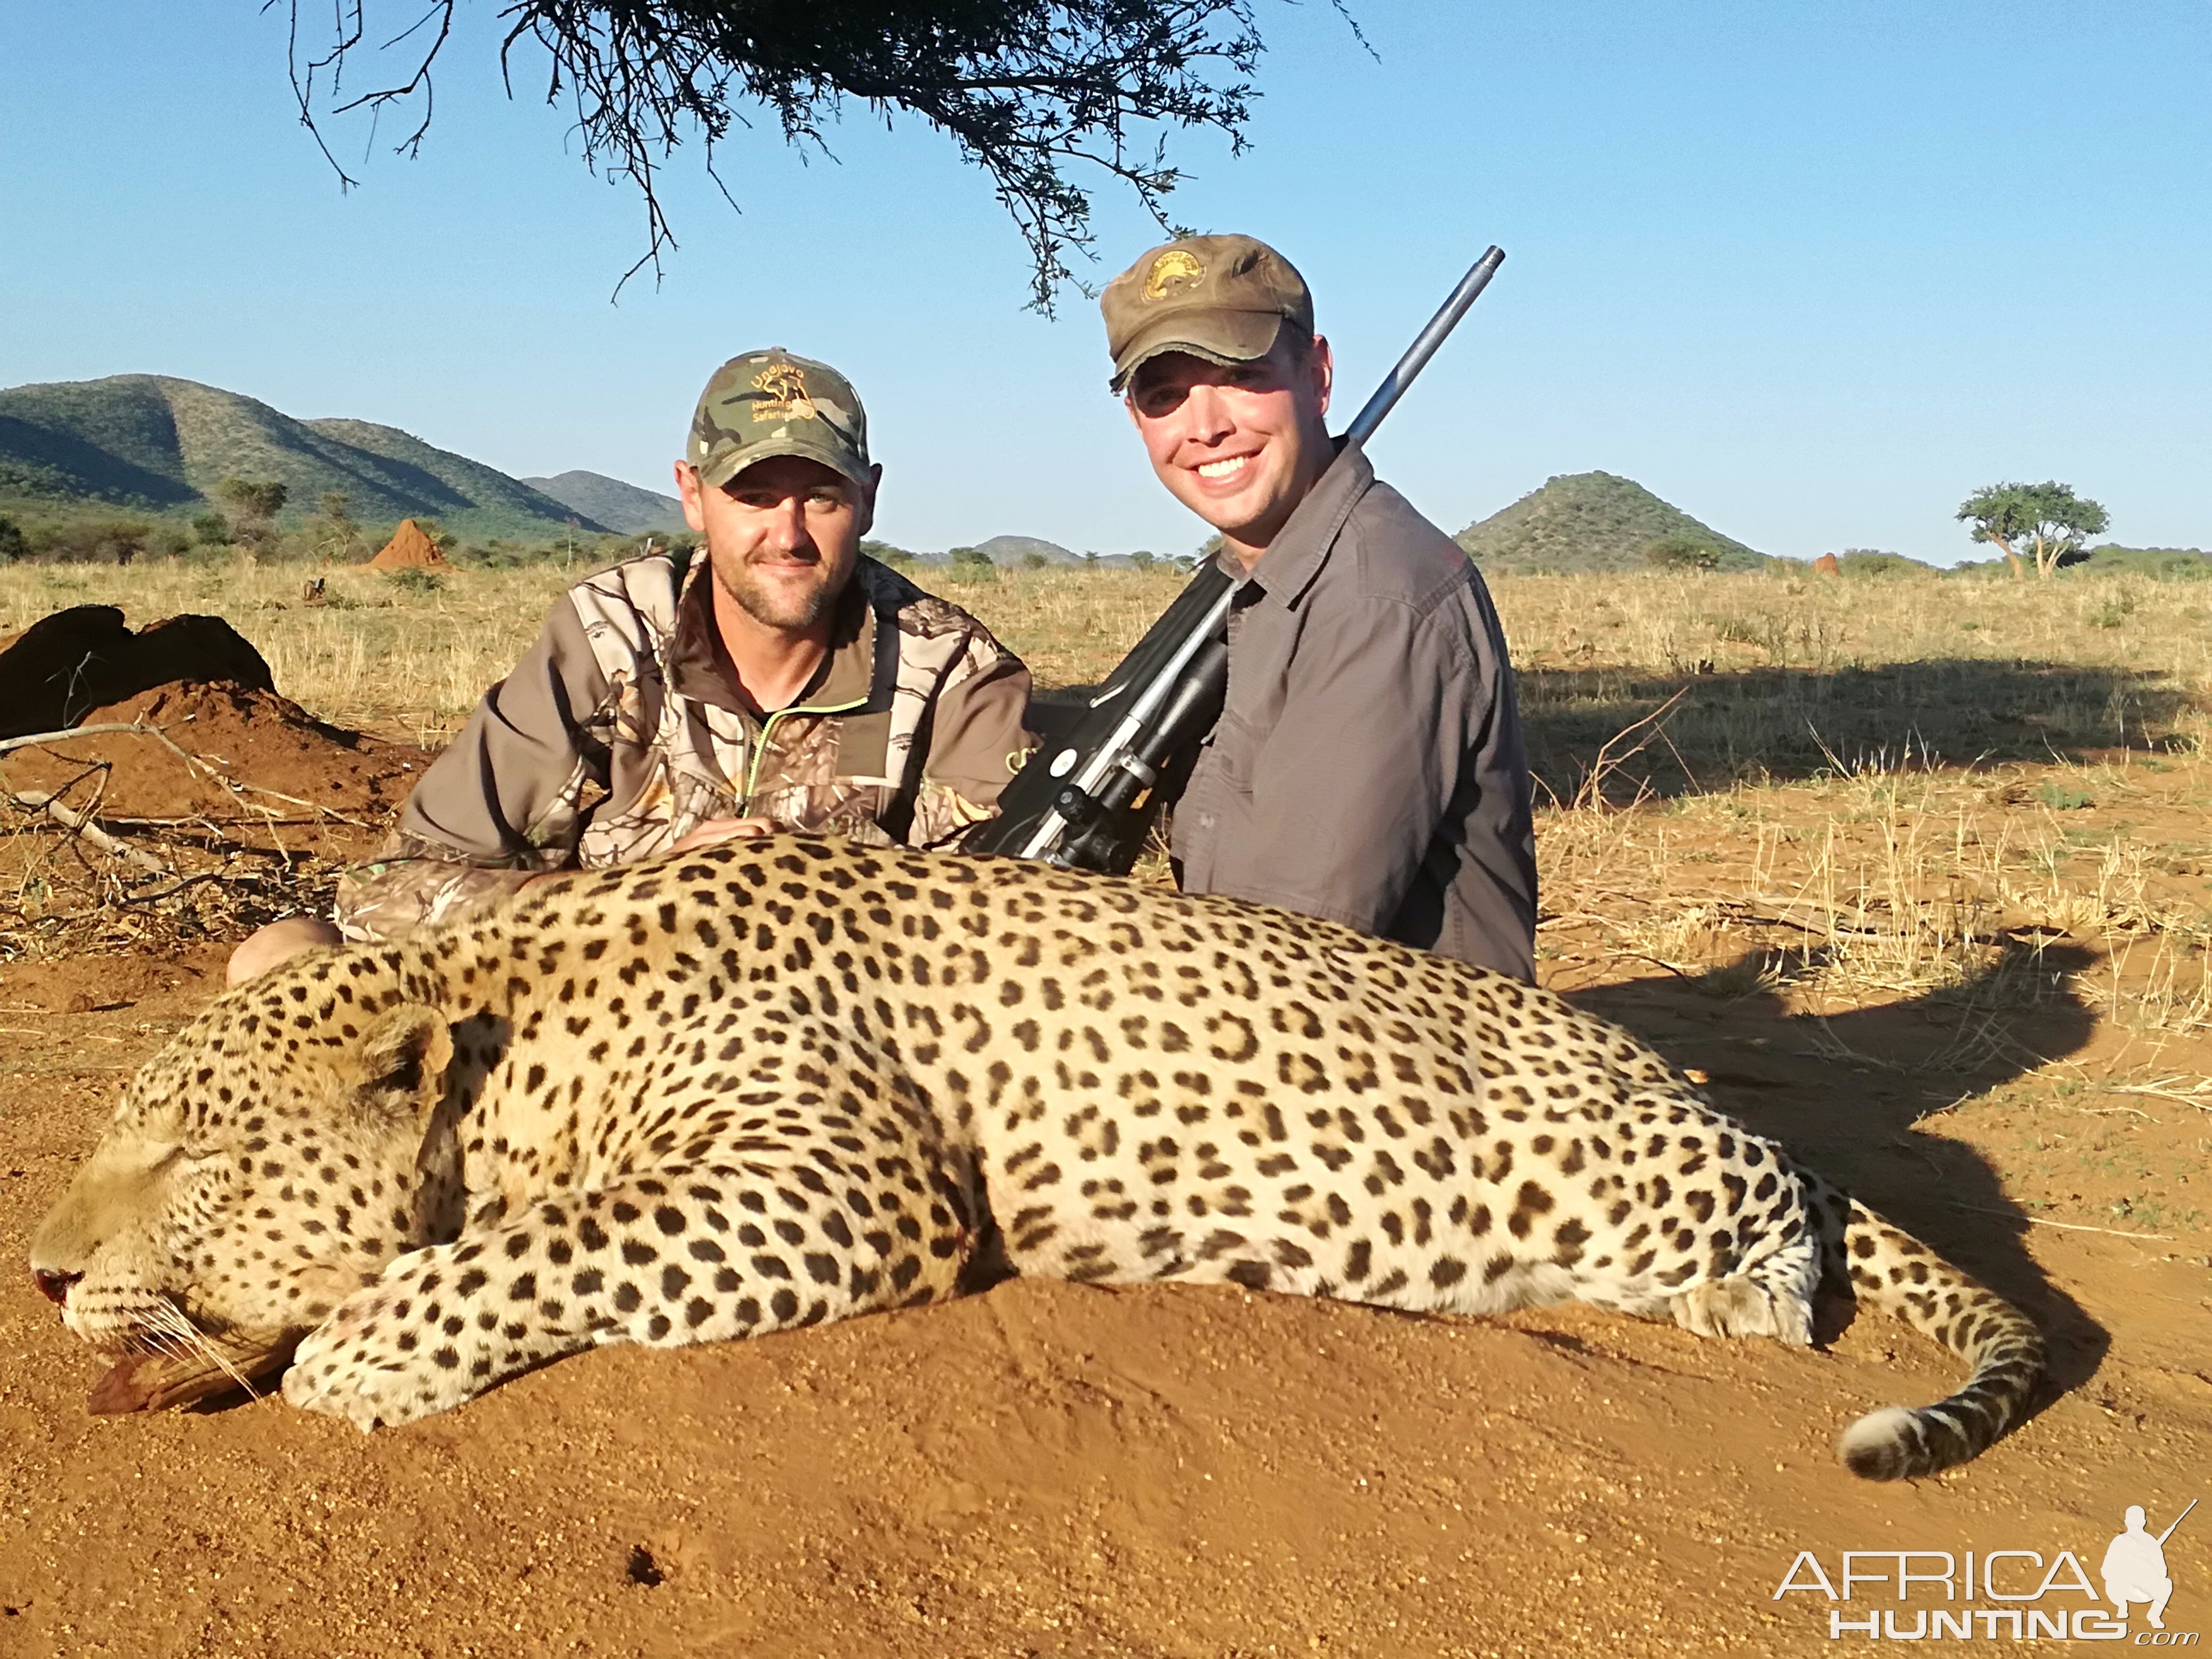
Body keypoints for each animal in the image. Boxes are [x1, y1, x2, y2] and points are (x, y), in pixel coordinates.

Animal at [30, 845, 2035, 1477]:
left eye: (186, 1151)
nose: (42, 1275)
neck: (528, 1023)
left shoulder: (836, 1180)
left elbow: (546, 1244)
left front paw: (368, 1352)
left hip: (1628, 1159)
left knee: (1783, 1229)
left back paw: (1739, 1298)